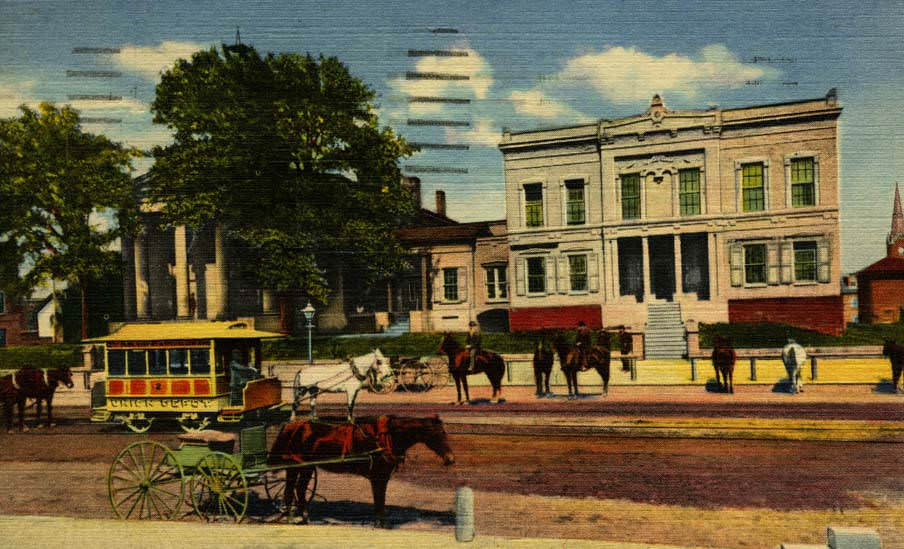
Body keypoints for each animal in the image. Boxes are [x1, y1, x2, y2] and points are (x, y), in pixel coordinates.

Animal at [268, 416, 452, 528]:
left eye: (444, 433)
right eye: (438, 434)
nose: (451, 459)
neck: (386, 437)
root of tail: (293, 425)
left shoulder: (382, 476)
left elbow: (380, 499)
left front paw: (380, 521)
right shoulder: (378, 476)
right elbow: (379, 499)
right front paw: (382, 523)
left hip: (306, 467)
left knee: (299, 489)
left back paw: (303, 516)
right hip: (295, 466)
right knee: (289, 491)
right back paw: (291, 516)